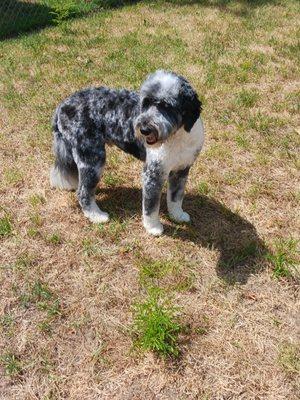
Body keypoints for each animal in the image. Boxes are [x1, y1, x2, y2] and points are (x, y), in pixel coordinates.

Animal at [49, 70, 204, 236]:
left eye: (166, 106)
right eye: (146, 102)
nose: (144, 129)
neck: (176, 137)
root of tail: (61, 106)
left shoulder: (181, 170)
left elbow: (176, 197)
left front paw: (177, 215)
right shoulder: (153, 173)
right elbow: (151, 206)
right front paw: (153, 227)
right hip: (92, 159)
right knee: (83, 192)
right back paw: (97, 216)